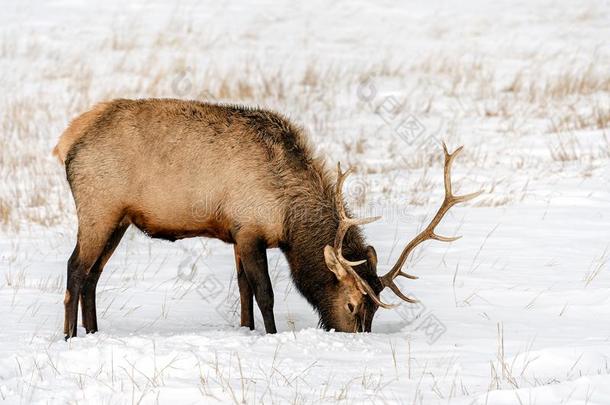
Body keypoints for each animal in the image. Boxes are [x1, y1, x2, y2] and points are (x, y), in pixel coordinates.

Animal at [53, 98, 480, 338]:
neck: (288, 217)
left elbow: (243, 290)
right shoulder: (250, 229)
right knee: (75, 268)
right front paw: (269, 335)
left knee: (93, 275)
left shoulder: (236, 233)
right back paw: (70, 336)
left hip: (119, 219)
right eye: (352, 305)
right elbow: (265, 293)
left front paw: (246, 330)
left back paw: (94, 332)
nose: (356, 339)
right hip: (98, 207)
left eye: (374, 309)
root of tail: (66, 142)